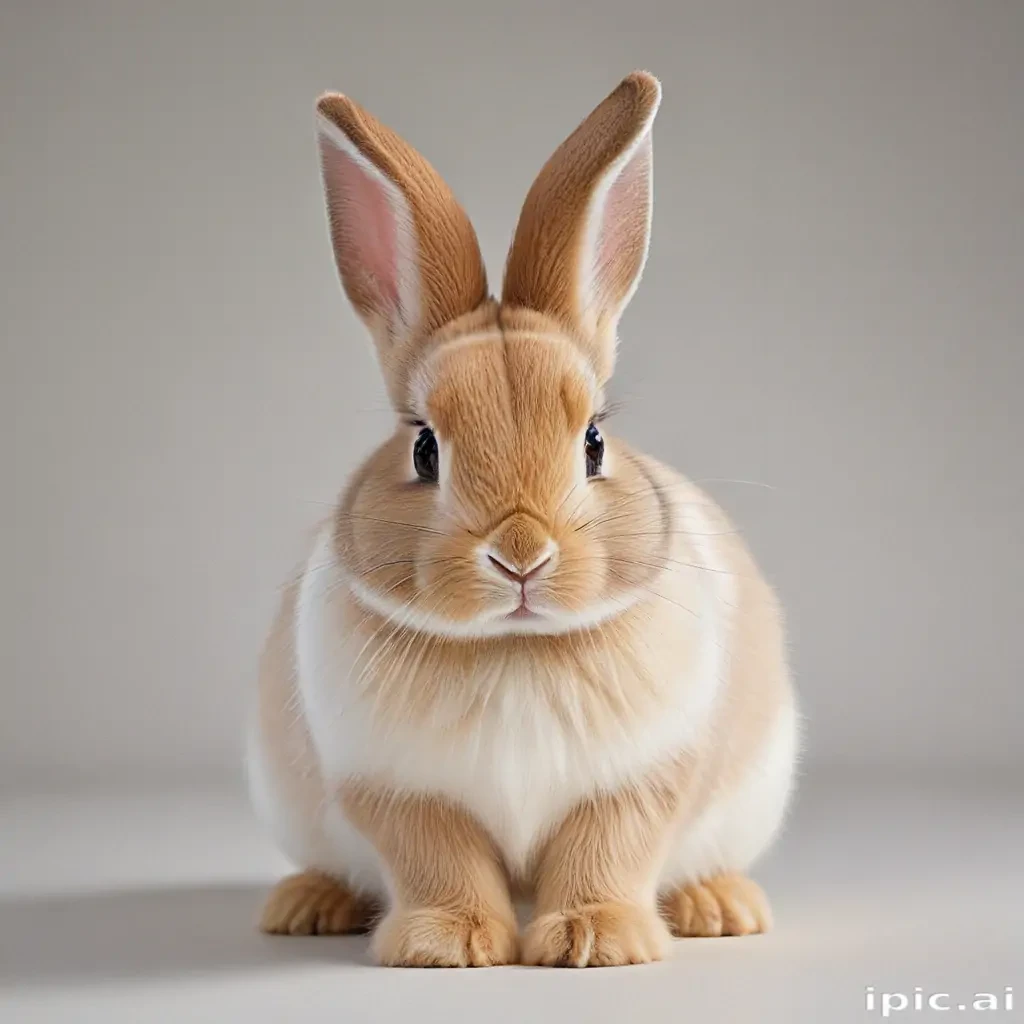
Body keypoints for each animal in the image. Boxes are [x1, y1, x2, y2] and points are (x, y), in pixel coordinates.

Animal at [247, 70, 800, 968]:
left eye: (595, 442)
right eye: (424, 449)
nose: (521, 555)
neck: (515, 648)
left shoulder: (637, 784)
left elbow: (604, 851)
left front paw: (595, 941)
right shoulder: (401, 794)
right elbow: (442, 862)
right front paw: (447, 945)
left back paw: (722, 907)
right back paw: (304, 906)